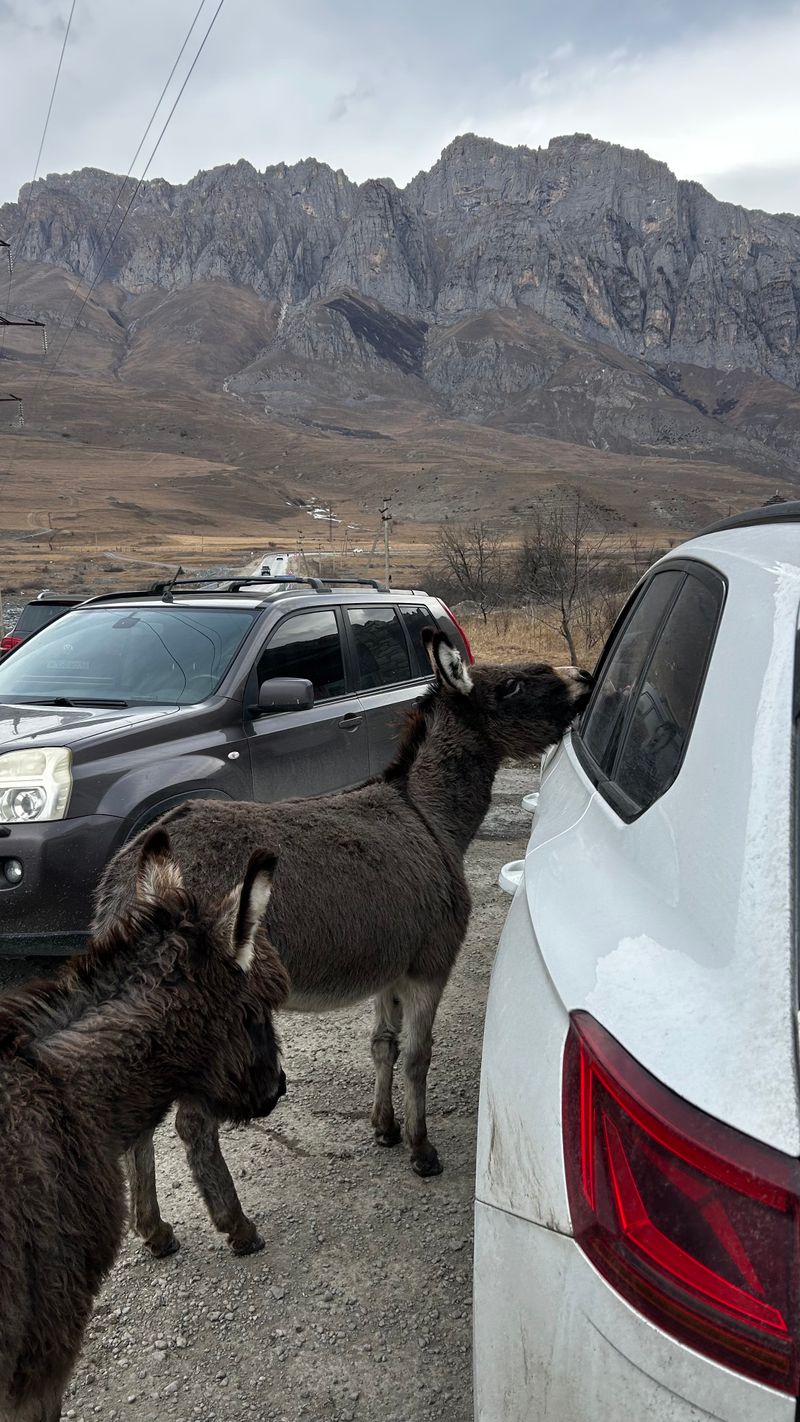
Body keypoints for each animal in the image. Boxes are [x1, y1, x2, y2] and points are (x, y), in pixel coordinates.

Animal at [94, 629, 591, 1258]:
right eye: (517, 685)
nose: (586, 677)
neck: (427, 814)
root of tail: (133, 875)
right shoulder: (429, 965)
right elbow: (418, 1057)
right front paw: (422, 1152)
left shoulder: (391, 968)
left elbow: (383, 1045)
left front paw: (385, 1128)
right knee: (193, 1125)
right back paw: (237, 1227)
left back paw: (156, 1231)